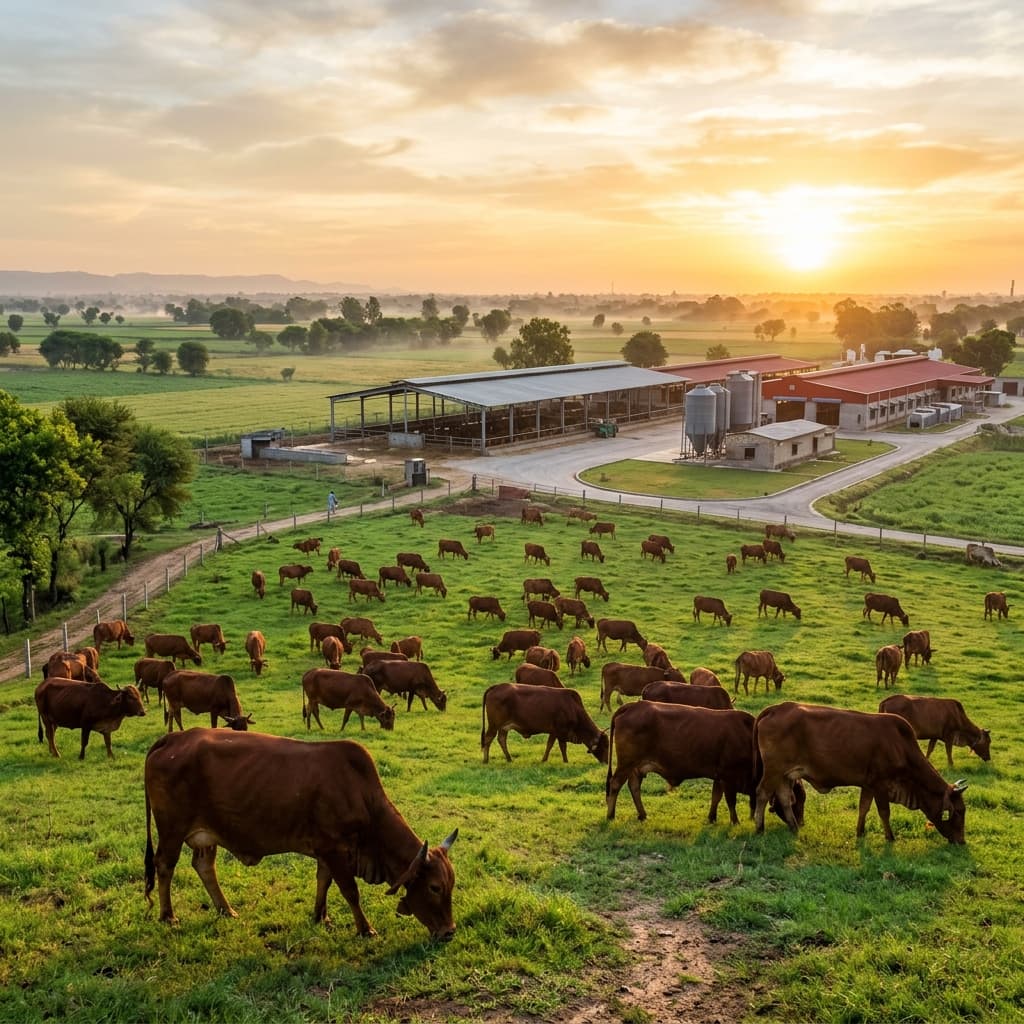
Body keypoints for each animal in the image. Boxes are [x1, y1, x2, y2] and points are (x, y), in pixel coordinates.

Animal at [143, 729, 457, 937]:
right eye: (434, 887)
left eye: (451, 885)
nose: (450, 931)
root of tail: (172, 739)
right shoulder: (334, 849)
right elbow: (350, 891)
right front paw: (365, 929)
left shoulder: (327, 851)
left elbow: (324, 882)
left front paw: (321, 916)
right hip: (172, 829)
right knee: (165, 865)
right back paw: (168, 915)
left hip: (206, 834)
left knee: (204, 866)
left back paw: (225, 909)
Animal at [606, 702, 763, 824]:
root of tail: (633, 705)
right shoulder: (728, 776)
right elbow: (731, 801)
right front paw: (735, 821)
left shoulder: (719, 777)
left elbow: (716, 797)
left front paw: (712, 818)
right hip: (626, 764)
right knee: (615, 784)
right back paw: (610, 815)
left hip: (635, 767)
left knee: (634, 787)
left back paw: (642, 815)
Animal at [752, 701, 968, 843]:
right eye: (958, 811)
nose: (961, 841)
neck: (901, 747)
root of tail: (776, 708)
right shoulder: (881, 785)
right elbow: (884, 812)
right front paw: (890, 837)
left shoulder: (868, 785)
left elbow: (864, 807)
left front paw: (860, 831)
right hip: (773, 770)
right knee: (762, 793)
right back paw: (759, 828)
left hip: (784, 774)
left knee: (784, 798)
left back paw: (794, 826)